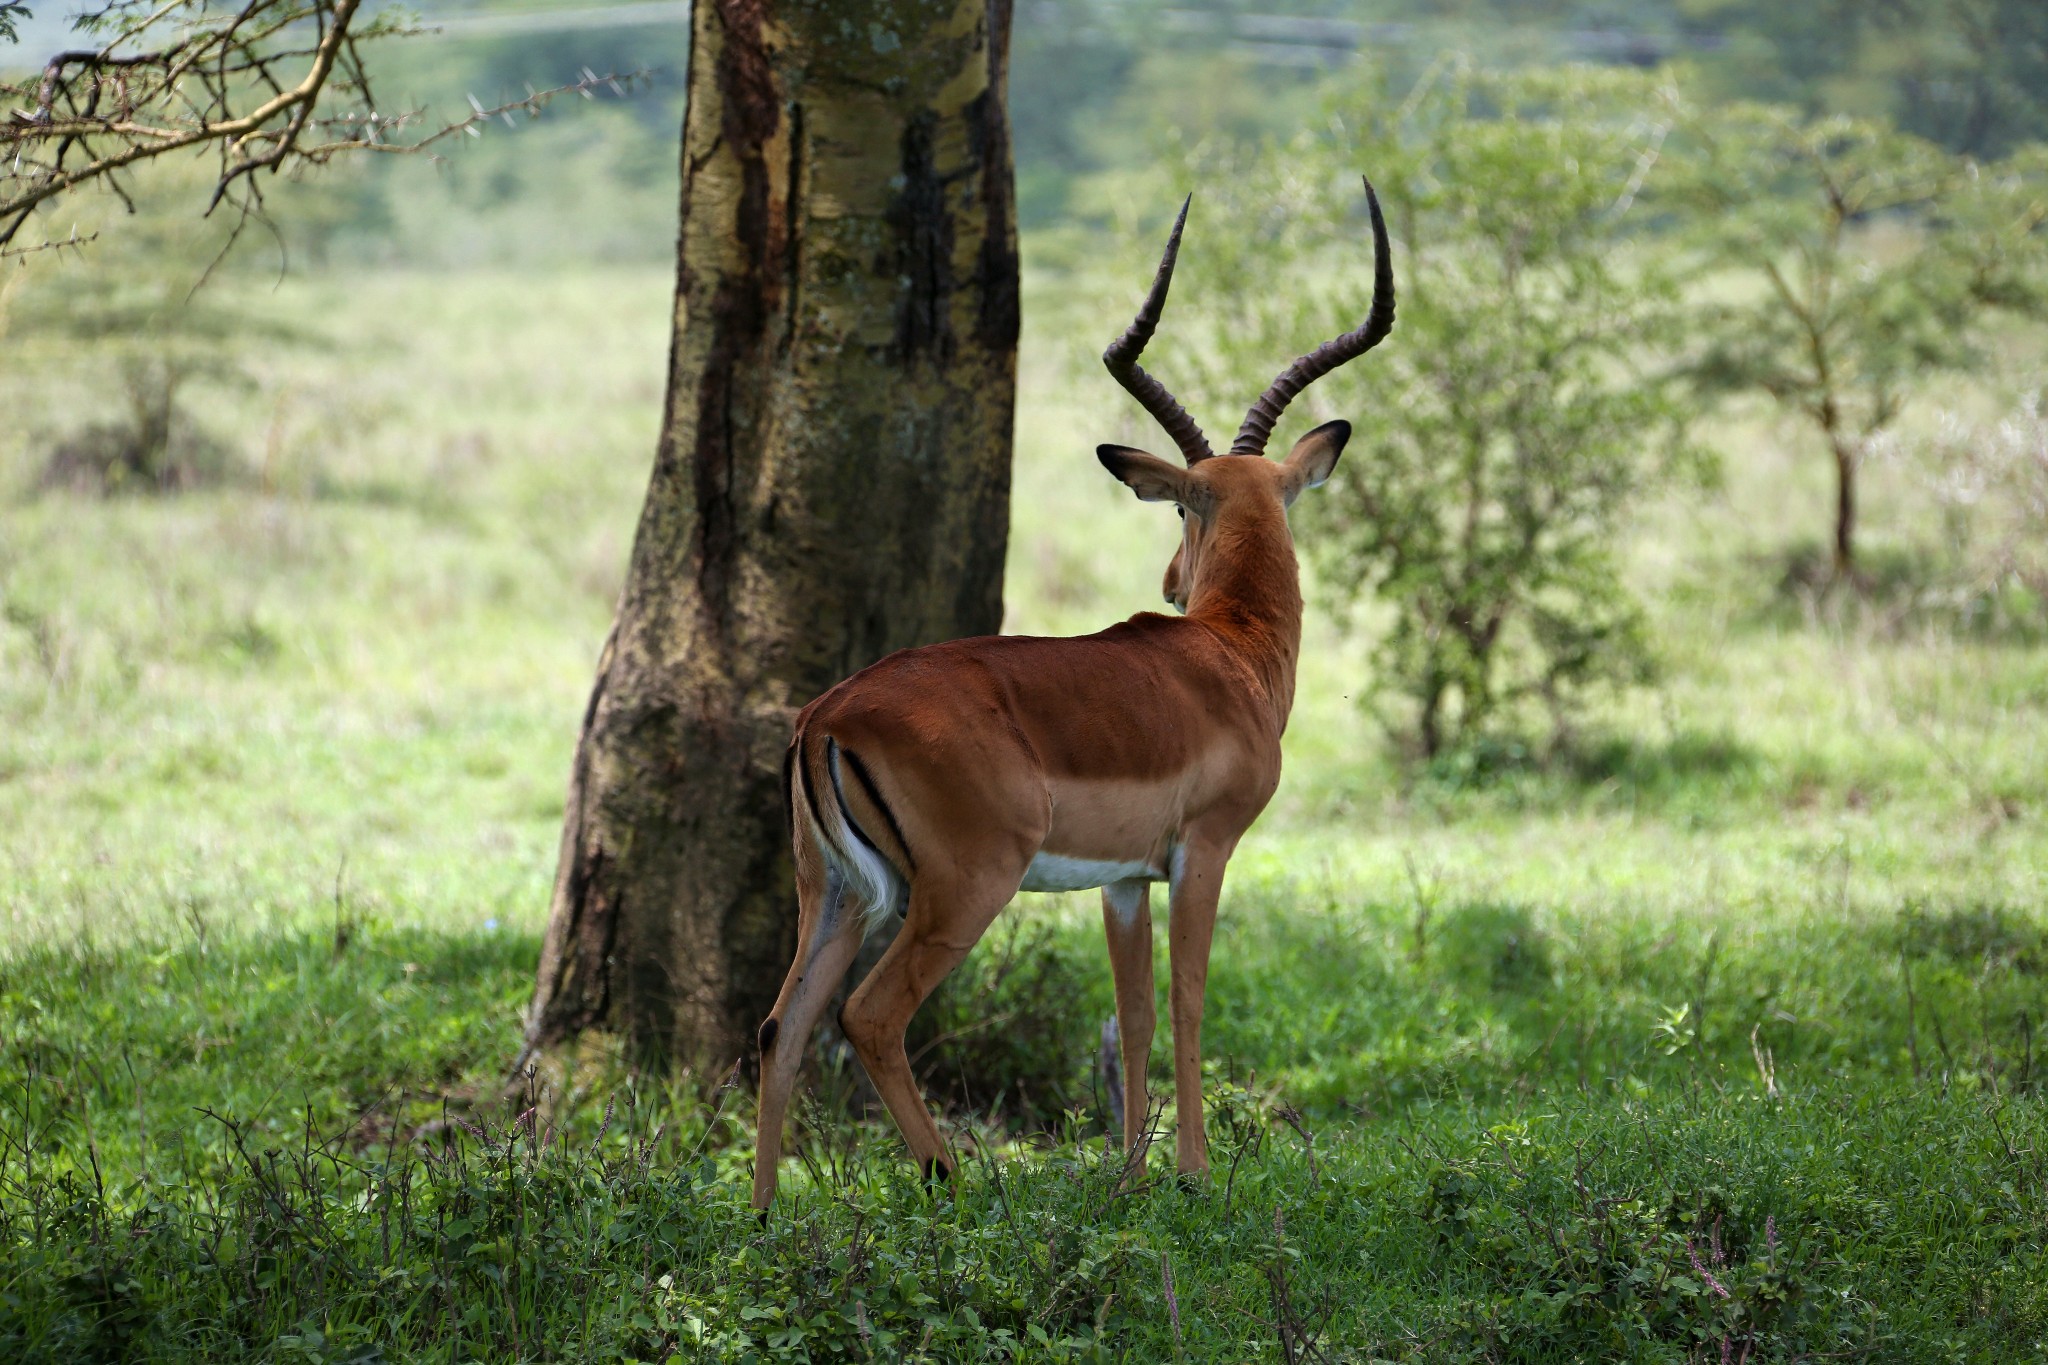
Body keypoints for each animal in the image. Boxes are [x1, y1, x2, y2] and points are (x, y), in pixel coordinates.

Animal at [753, 179, 1392, 1203]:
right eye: (1184, 503)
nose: (1171, 581)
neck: (1228, 656)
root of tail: (826, 716)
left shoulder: (1123, 880)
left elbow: (1131, 1014)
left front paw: (1131, 1178)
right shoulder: (1203, 851)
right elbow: (1189, 999)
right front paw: (1192, 1174)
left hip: (837, 894)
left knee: (785, 1025)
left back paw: (768, 1213)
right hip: (964, 888)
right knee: (869, 1016)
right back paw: (950, 1178)